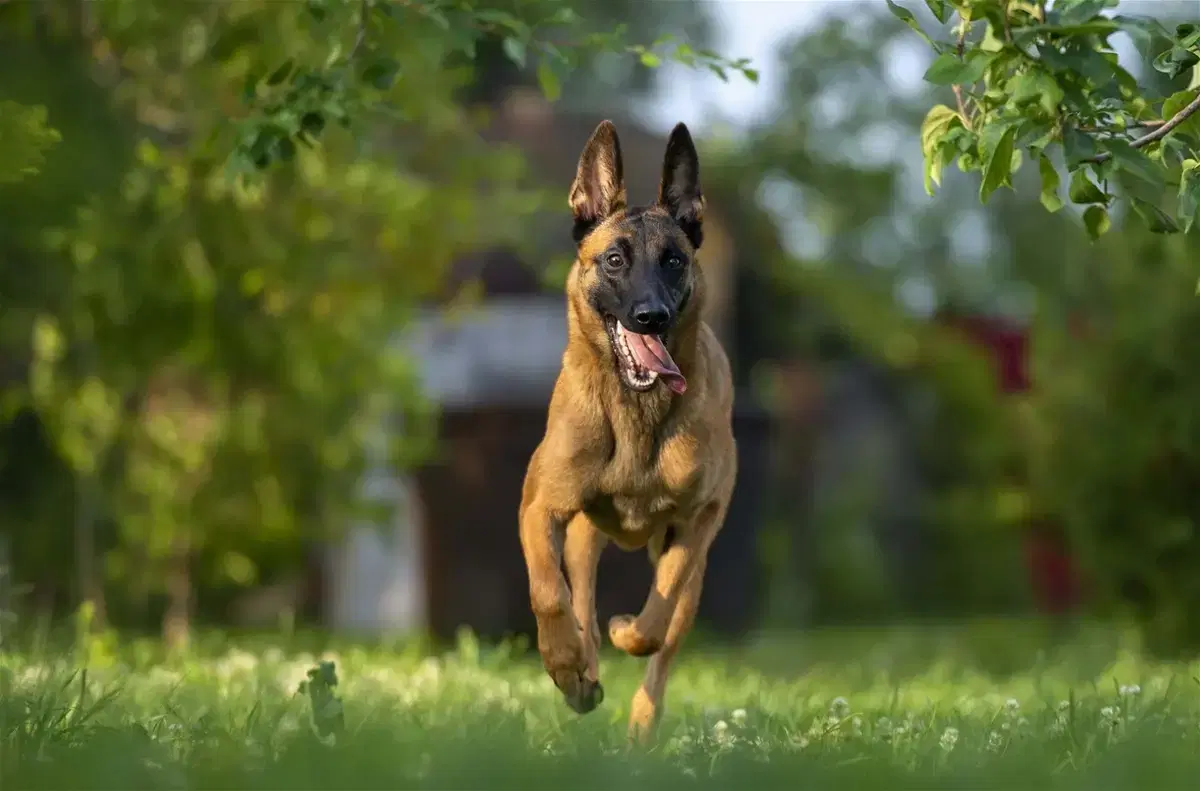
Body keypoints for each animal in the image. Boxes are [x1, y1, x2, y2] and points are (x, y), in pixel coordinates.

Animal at [518, 119, 734, 744]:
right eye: (614, 259)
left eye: (674, 261)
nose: (650, 316)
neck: (637, 415)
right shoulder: (540, 508)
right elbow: (549, 594)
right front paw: (565, 664)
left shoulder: (699, 519)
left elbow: (655, 621)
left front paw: (626, 633)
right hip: (583, 539)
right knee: (580, 602)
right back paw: (581, 673)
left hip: (693, 569)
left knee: (664, 643)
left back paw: (639, 721)